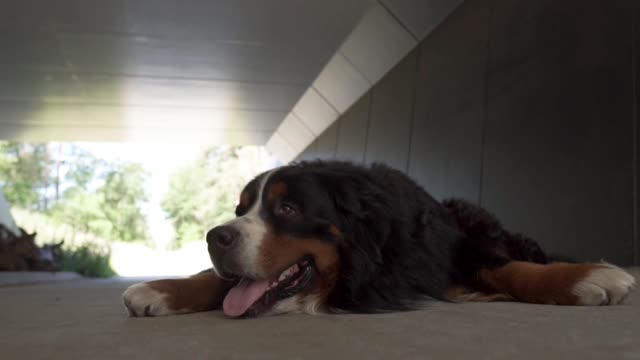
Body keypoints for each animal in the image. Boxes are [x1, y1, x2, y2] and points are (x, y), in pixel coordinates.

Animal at [121, 161, 636, 318]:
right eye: (240, 211)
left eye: (288, 209)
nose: (215, 237)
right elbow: (217, 280)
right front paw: (162, 288)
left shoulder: (455, 253)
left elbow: (508, 268)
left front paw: (586, 276)